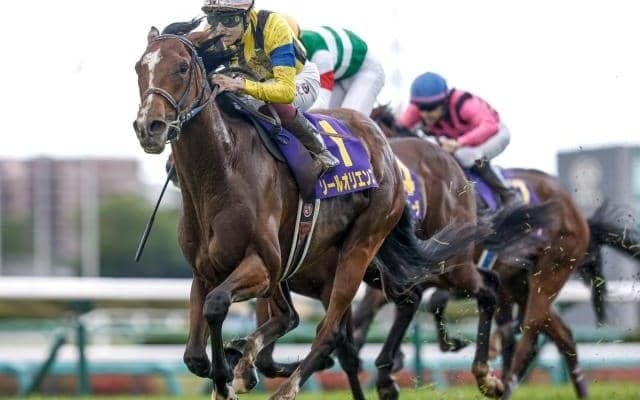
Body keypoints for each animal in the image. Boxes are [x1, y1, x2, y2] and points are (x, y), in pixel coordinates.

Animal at [133, 28, 485, 400]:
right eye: (139, 68)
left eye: (182, 67)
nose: (149, 126)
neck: (221, 172)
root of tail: (385, 149)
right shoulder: (206, 273)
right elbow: (195, 356)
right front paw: (231, 370)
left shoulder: (264, 265)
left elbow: (218, 306)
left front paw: (231, 375)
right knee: (392, 301)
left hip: (363, 249)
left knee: (332, 332)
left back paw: (289, 387)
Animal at [365, 105, 604, 399]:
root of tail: (575, 209)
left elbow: (432, 301)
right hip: (520, 284)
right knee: (562, 335)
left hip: (550, 273)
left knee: (529, 336)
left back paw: (502, 382)